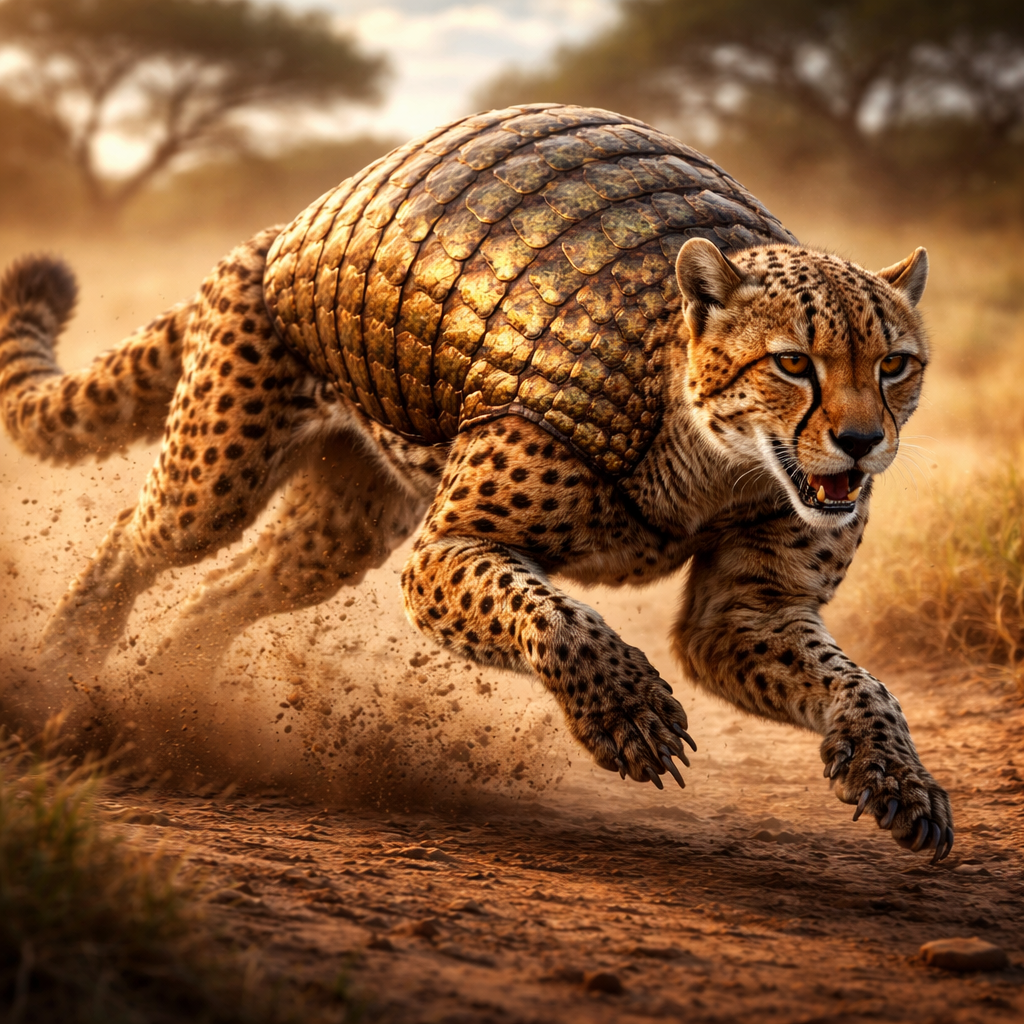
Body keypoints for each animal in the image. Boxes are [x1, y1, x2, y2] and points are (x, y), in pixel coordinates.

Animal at [0, 106, 952, 862]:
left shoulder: (747, 613)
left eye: (895, 365)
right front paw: (628, 715)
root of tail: (275, 231)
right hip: (222, 469)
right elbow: (556, 616)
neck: (714, 457)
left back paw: (172, 700)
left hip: (339, 527)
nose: (863, 444)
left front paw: (898, 780)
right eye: (794, 363)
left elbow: (859, 681)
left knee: (225, 590)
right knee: (136, 535)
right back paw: (64, 676)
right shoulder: (450, 548)